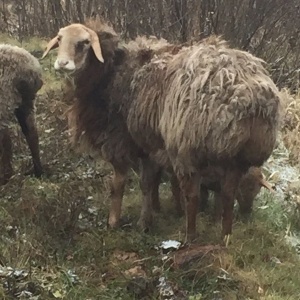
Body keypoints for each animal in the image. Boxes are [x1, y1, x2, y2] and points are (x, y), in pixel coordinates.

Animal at [0, 43, 44, 184]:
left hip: (5, 98)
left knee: (5, 140)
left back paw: (6, 177)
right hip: (27, 102)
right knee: (32, 134)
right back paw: (38, 172)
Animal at [42, 20, 282, 244]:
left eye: (84, 43)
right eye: (59, 39)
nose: (62, 64)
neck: (110, 72)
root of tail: (253, 97)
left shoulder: (122, 141)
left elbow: (120, 185)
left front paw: (114, 221)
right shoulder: (149, 146)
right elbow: (149, 184)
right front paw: (147, 219)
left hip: (188, 149)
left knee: (193, 195)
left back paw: (190, 237)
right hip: (235, 159)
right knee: (228, 195)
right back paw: (225, 238)